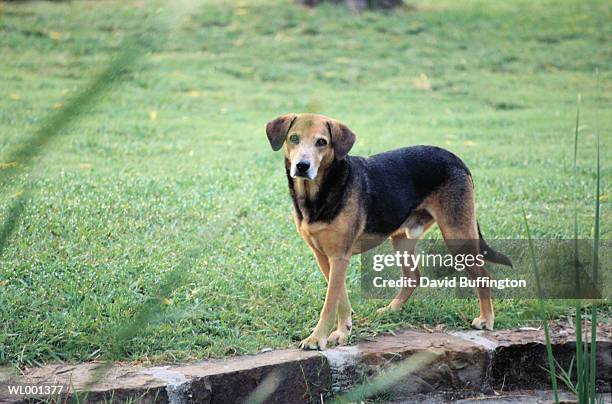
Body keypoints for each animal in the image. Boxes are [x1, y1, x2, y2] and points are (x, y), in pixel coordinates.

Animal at [266, 112, 512, 348]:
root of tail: (456, 158)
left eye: (322, 142)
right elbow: (340, 297)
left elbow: (330, 303)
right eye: (294, 138)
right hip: (402, 240)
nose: (302, 166)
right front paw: (344, 329)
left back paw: (486, 319)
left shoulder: (339, 256)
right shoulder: (324, 256)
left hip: (457, 235)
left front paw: (317, 339)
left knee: (484, 276)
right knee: (413, 277)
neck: (319, 191)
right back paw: (391, 310)